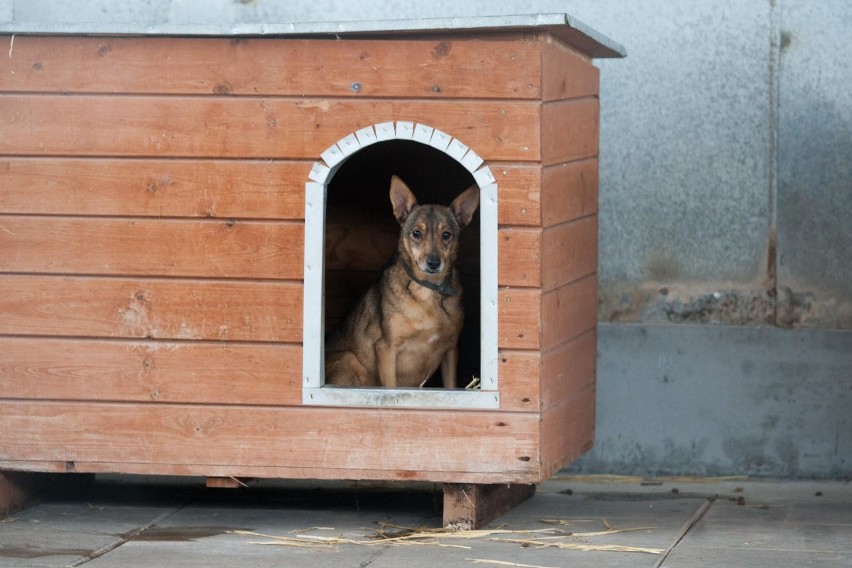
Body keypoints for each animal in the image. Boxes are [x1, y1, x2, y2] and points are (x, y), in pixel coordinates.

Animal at [324, 175, 480, 388]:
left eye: (446, 235)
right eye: (416, 233)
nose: (433, 263)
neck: (427, 289)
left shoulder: (451, 349)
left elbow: (450, 385)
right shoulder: (386, 348)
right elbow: (391, 388)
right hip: (348, 359)